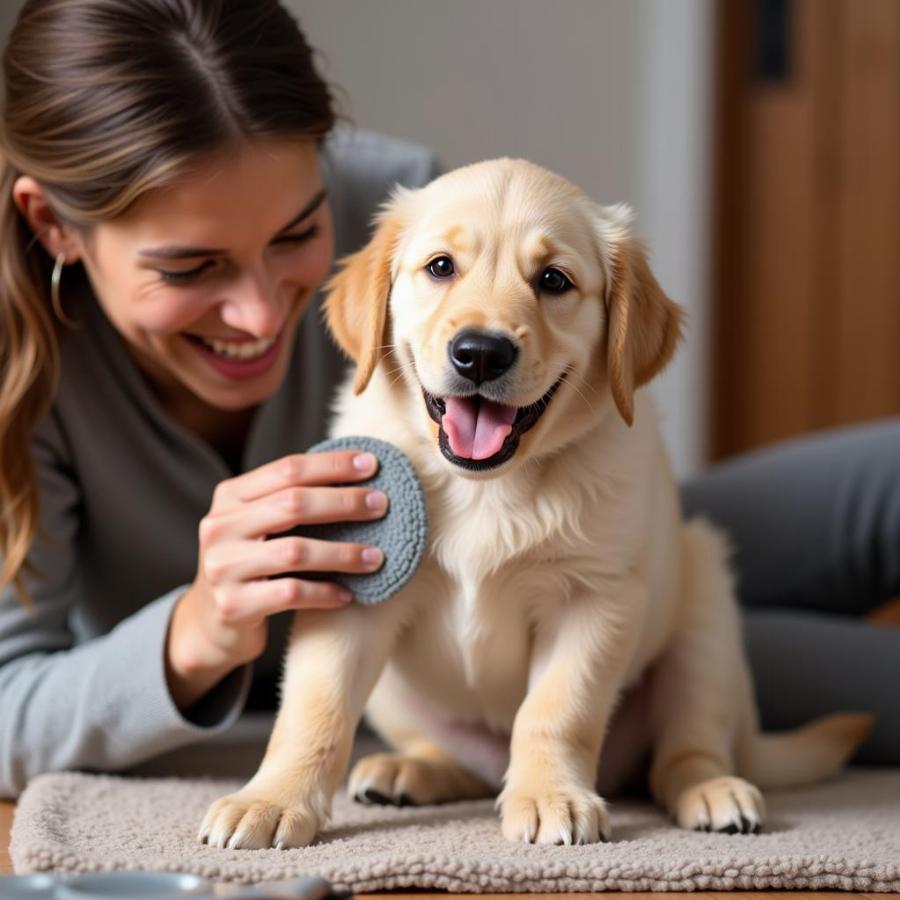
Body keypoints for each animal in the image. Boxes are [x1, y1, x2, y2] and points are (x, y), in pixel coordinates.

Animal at [199, 156, 872, 852]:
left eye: (554, 280)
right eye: (440, 267)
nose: (480, 353)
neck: (485, 486)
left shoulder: (595, 599)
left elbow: (556, 709)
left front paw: (551, 795)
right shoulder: (352, 588)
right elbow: (316, 706)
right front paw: (272, 799)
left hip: (706, 614)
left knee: (685, 748)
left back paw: (713, 790)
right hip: (399, 698)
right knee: (456, 757)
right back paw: (409, 770)